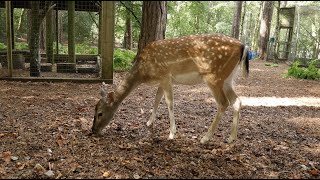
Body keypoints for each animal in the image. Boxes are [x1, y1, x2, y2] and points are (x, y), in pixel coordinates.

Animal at [91, 33, 249, 143]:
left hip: (213, 76)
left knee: (223, 103)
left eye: (100, 113)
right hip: (228, 79)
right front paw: (149, 122)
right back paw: (231, 138)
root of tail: (243, 46)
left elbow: (169, 103)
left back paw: (205, 138)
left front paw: (172, 133)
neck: (143, 72)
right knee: (237, 101)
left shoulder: (165, 76)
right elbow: (156, 100)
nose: (93, 130)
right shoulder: (161, 80)